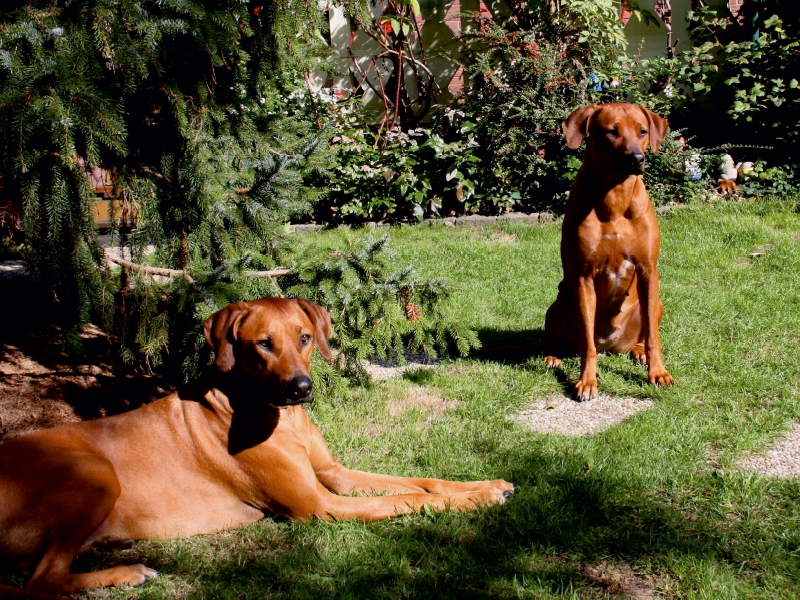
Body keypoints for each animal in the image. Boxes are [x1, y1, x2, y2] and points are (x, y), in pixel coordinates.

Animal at [0, 298, 512, 596]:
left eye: (304, 338)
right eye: (263, 344)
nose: (301, 389)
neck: (278, 416)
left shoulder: (335, 474)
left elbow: (419, 481)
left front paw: (486, 484)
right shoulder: (319, 505)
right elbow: (406, 499)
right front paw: (476, 500)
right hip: (91, 472)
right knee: (39, 582)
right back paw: (125, 573)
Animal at [544, 102, 676, 400]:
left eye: (642, 131)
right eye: (611, 132)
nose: (637, 158)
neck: (615, 195)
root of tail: (611, 346)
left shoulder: (648, 270)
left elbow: (654, 336)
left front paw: (658, 372)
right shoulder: (583, 276)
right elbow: (587, 344)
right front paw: (587, 380)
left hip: (656, 303)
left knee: (645, 331)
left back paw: (638, 352)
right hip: (560, 304)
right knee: (568, 339)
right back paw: (553, 355)